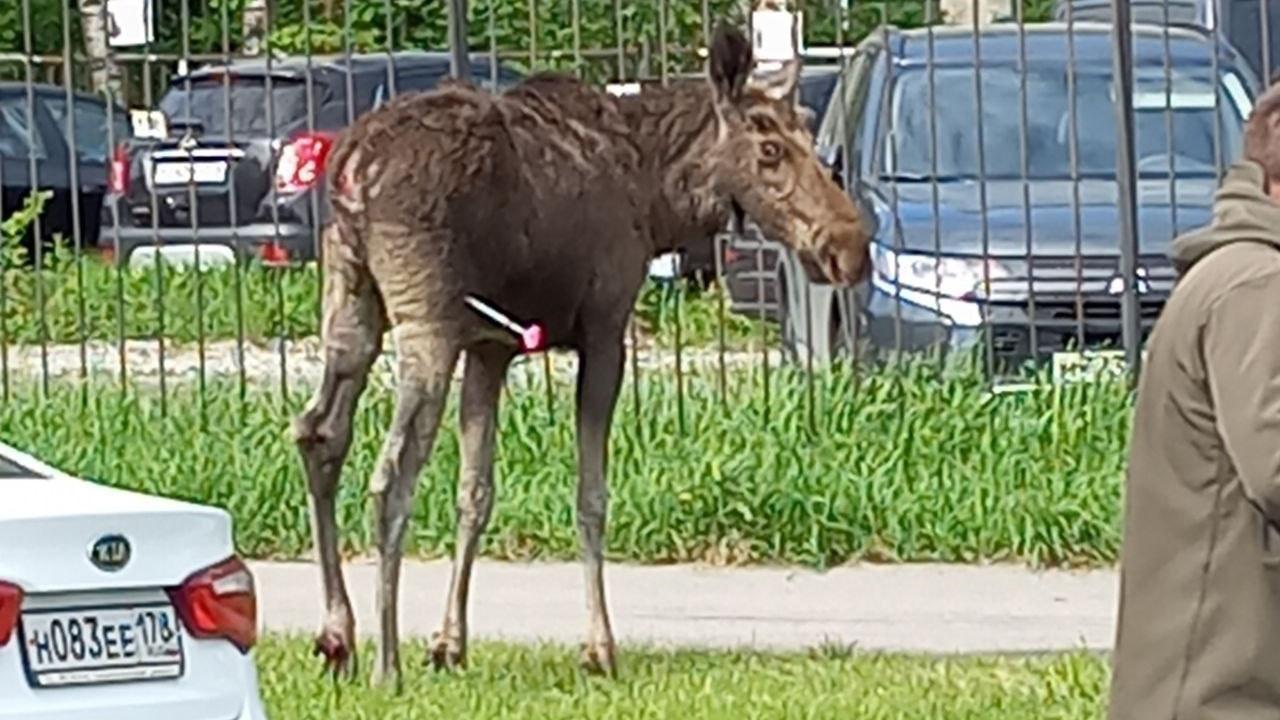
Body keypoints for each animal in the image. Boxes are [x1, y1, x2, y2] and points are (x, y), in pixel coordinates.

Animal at [293, 20, 870, 681]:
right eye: (770, 148)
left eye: (808, 133)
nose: (850, 247)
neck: (658, 196)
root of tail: (349, 174)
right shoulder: (603, 330)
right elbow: (590, 496)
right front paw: (599, 646)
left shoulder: (490, 348)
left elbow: (475, 493)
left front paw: (449, 643)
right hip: (425, 322)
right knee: (391, 473)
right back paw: (387, 662)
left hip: (350, 299)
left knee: (318, 433)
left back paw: (337, 633)